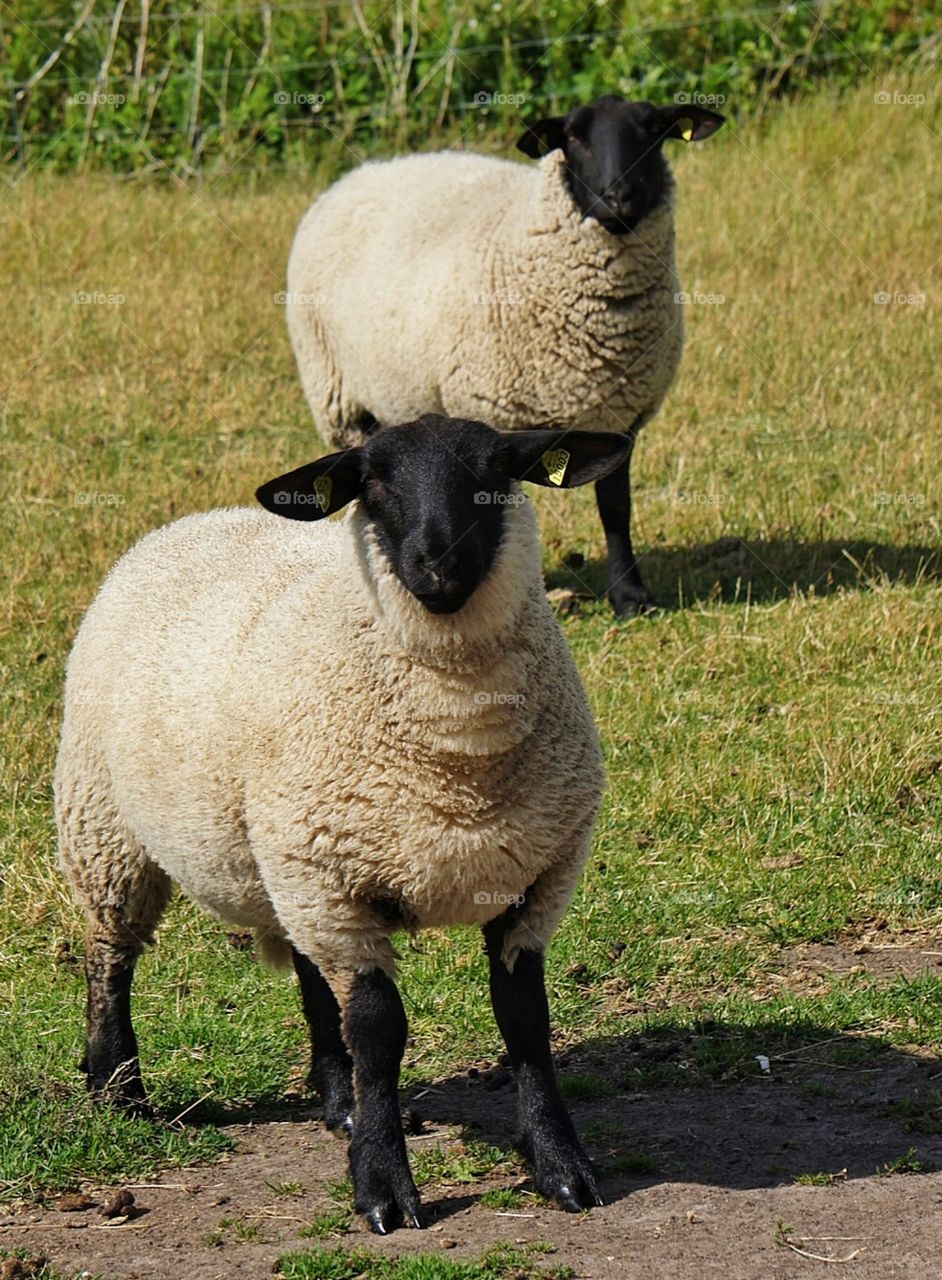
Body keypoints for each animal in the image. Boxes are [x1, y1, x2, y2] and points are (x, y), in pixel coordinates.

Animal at [56, 414, 631, 1234]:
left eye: (497, 471)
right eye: (373, 480)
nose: (437, 564)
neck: (459, 744)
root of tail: (192, 520)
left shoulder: (533, 879)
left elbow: (524, 1020)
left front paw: (562, 1167)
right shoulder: (335, 881)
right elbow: (379, 1028)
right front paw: (385, 1187)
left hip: (284, 860)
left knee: (304, 968)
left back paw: (339, 1101)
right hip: (108, 825)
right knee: (110, 955)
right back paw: (119, 1089)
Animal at [285, 95, 724, 617]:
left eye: (655, 131)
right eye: (573, 137)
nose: (618, 197)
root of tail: (362, 172)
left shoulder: (619, 415)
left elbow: (616, 507)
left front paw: (630, 595)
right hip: (341, 399)